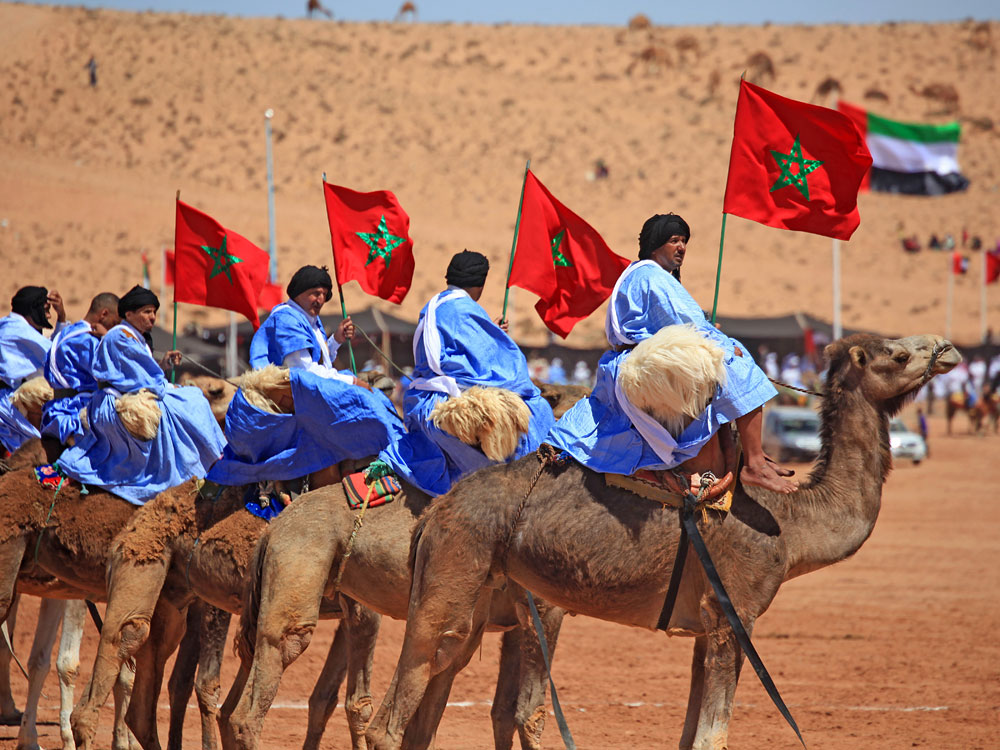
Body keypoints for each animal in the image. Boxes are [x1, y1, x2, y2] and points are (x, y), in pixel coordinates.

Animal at [368, 336, 960, 750]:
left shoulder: (706, 626)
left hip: (474, 598)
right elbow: (713, 736)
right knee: (392, 719)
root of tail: (438, 509)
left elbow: (691, 734)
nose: (948, 348)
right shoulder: (733, 615)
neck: (793, 526)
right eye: (899, 353)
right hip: (449, 581)